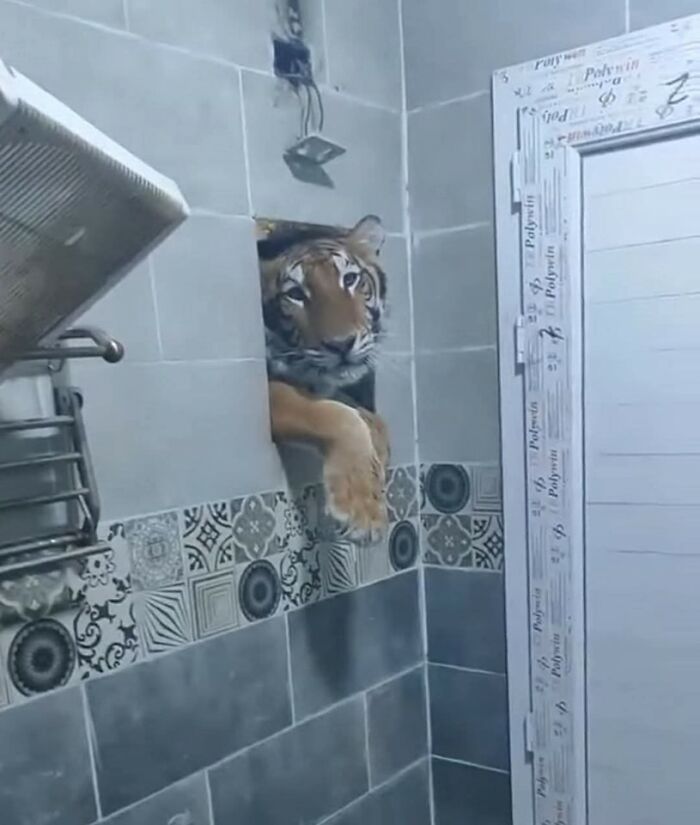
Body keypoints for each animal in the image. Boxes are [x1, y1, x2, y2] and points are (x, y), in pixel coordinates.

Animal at [259, 215, 390, 539]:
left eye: (350, 279)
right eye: (295, 294)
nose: (342, 344)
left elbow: (370, 417)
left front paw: (380, 457)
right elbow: (338, 415)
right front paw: (363, 511)